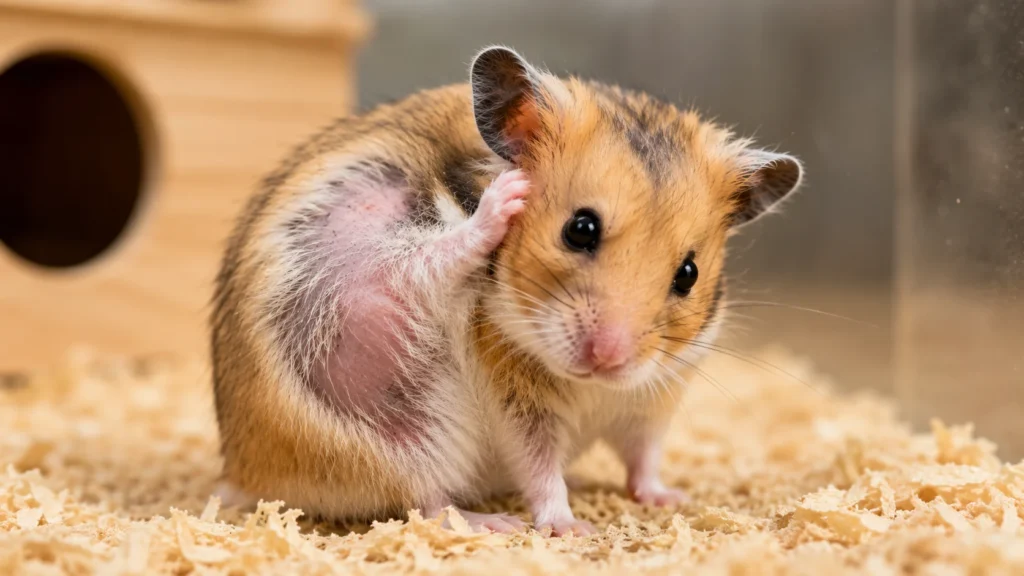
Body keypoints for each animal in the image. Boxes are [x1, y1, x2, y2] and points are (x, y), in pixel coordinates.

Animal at [209, 46, 802, 536]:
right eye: (579, 229)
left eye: (689, 274)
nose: (607, 358)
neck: (592, 389)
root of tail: (246, 470)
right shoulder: (518, 403)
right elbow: (539, 468)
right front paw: (569, 528)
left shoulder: (654, 397)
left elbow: (644, 457)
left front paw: (670, 499)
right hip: (386, 391)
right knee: (426, 497)